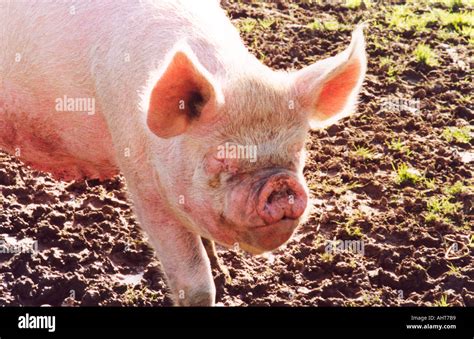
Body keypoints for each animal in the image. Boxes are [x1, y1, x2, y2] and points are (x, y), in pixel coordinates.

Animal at [0, 0, 368, 306]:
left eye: (297, 151)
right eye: (221, 157)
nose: (279, 185)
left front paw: (223, 272)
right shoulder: (141, 179)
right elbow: (195, 285)